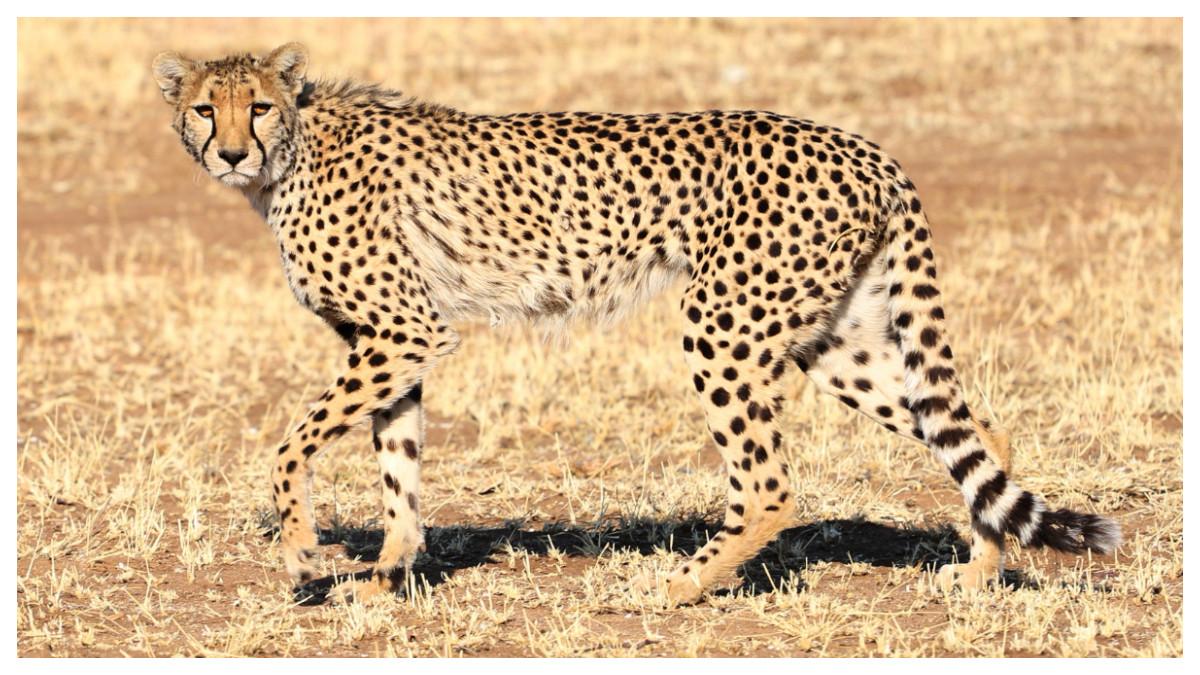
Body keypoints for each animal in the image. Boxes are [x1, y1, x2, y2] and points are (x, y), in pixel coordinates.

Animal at [152, 43, 1121, 605]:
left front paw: (301, 548)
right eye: (205, 107)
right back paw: (984, 566)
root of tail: (865, 146)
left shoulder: (404, 330)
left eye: (258, 106)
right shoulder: (392, 342)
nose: (230, 151)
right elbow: (399, 467)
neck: (294, 152)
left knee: (770, 484)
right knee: (971, 428)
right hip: (827, 333)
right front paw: (387, 575)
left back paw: (676, 586)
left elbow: (291, 443)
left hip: (724, 322)